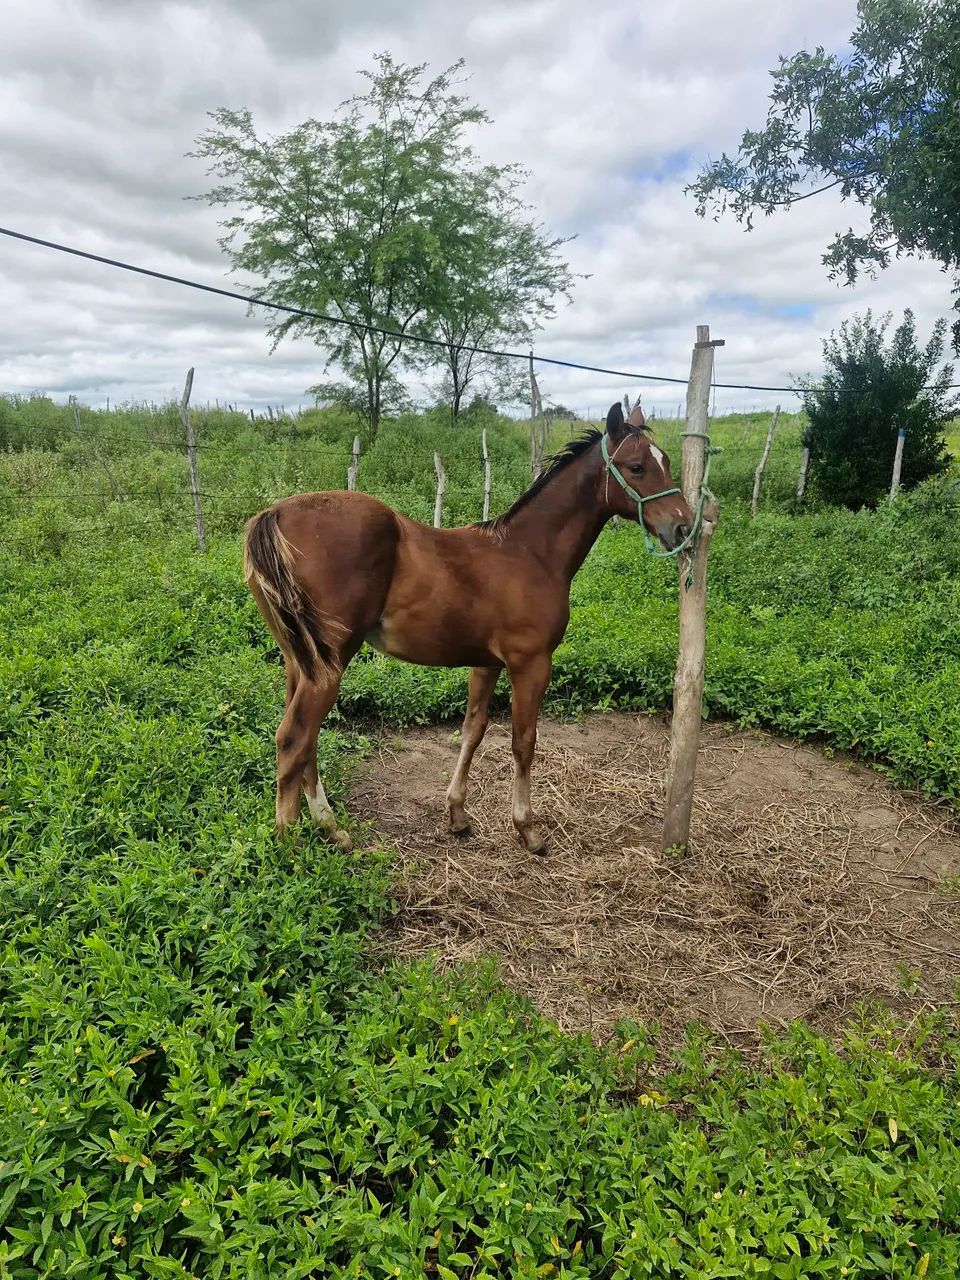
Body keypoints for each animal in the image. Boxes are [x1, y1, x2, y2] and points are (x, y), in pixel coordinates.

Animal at [244, 400, 693, 854]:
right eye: (637, 467)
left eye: (667, 462)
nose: (683, 526)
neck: (530, 552)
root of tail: (273, 513)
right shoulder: (530, 664)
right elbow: (523, 742)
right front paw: (527, 829)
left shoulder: (486, 663)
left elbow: (472, 731)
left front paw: (458, 814)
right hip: (330, 662)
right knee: (294, 737)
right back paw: (289, 844)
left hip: (300, 661)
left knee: (306, 739)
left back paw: (331, 828)